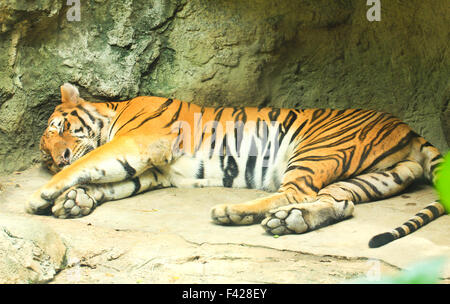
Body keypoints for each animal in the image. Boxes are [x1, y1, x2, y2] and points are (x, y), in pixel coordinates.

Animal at [27, 82, 446, 247]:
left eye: (61, 129)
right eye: (46, 154)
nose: (58, 157)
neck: (114, 112)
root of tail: (407, 128)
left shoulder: (138, 143)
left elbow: (91, 164)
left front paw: (40, 196)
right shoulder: (153, 172)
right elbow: (109, 182)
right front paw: (72, 200)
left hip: (315, 150)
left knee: (293, 192)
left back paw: (233, 211)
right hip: (370, 177)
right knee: (337, 203)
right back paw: (290, 222)